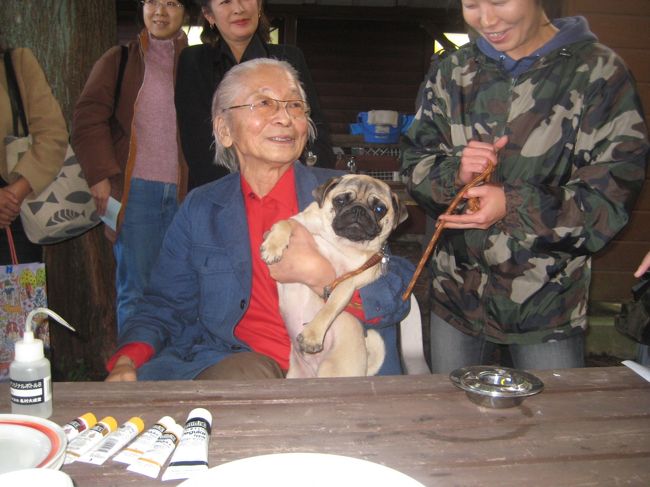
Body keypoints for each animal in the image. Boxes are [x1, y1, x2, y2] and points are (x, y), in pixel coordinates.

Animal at [260, 173, 404, 380]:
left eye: (379, 209)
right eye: (340, 200)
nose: (359, 210)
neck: (341, 243)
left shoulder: (346, 283)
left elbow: (329, 309)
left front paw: (312, 335)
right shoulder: (301, 222)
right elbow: (286, 223)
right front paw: (273, 246)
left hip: (331, 368)